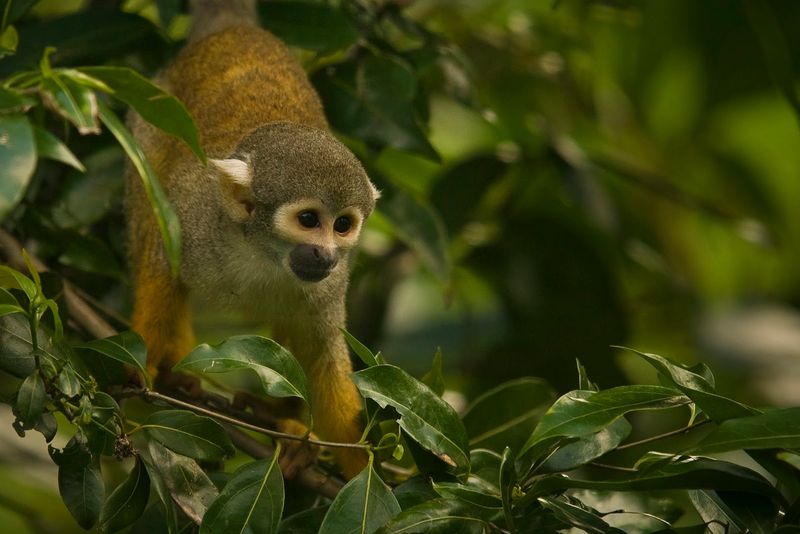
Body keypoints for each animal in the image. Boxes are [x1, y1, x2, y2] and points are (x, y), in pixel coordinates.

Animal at [125, 0, 377, 479]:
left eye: (342, 225)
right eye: (309, 219)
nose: (327, 254)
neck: (263, 254)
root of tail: (234, 26)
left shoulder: (331, 284)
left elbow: (322, 353)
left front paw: (367, 471)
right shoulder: (196, 218)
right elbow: (161, 257)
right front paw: (142, 363)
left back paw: (282, 420)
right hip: (149, 111)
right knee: (148, 197)